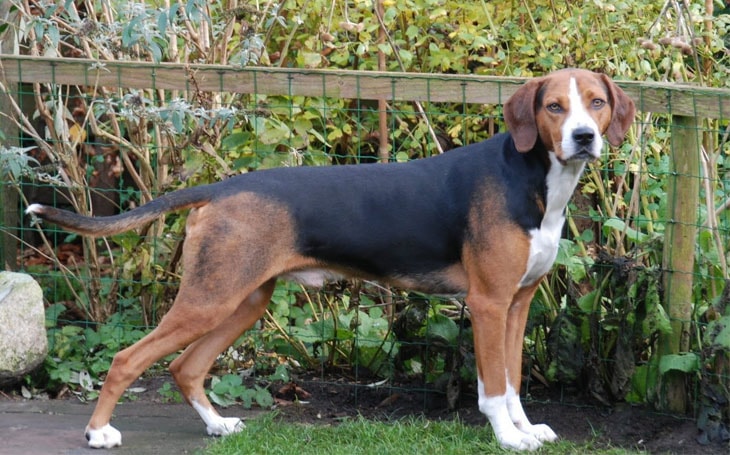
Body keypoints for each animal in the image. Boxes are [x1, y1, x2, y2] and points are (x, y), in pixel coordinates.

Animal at [28, 68, 632, 452]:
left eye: (596, 103)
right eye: (553, 107)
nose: (583, 136)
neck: (532, 179)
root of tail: (220, 188)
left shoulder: (517, 304)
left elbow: (513, 382)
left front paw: (526, 429)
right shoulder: (487, 304)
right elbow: (492, 389)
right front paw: (507, 438)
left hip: (243, 302)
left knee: (185, 367)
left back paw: (218, 426)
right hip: (210, 299)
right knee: (128, 359)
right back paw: (98, 433)